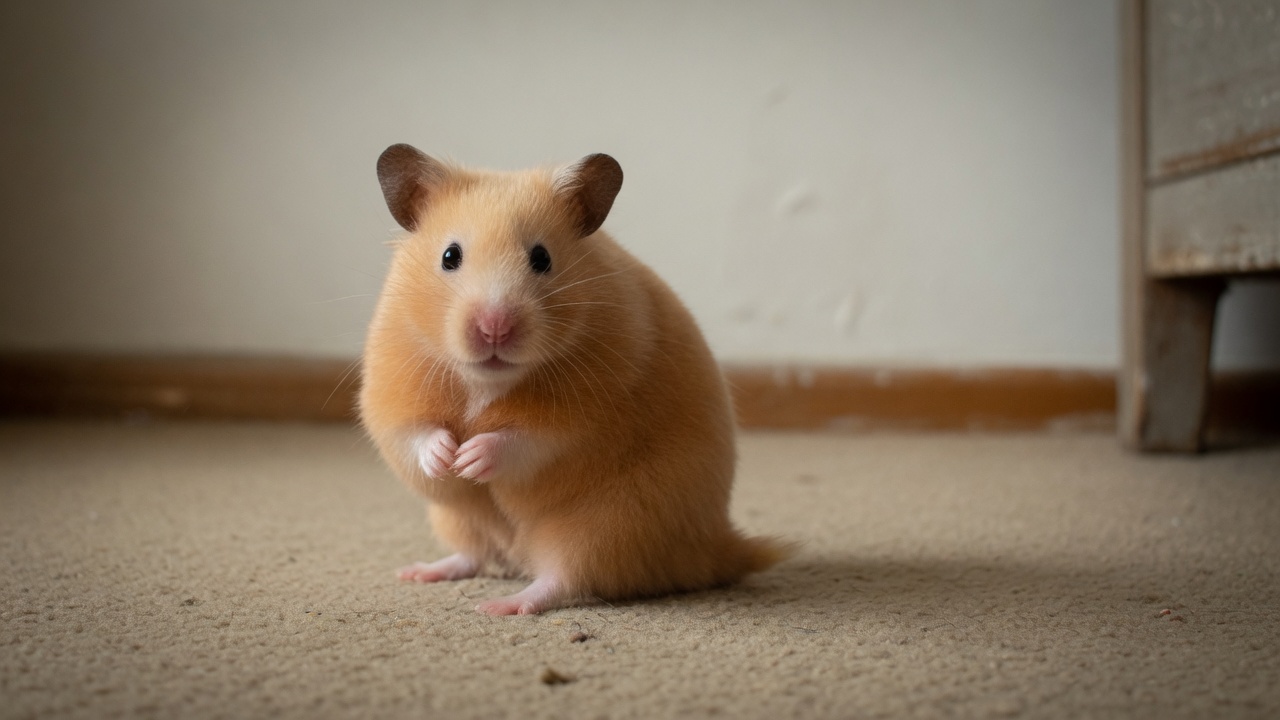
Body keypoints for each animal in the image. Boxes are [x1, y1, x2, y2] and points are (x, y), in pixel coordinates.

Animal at [360, 143, 787, 615]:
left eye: (542, 258)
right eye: (449, 256)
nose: (494, 328)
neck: (488, 381)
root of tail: (714, 548)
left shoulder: (581, 417)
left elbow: (526, 440)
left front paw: (470, 458)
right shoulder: (389, 395)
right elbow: (415, 434)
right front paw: (446, 458)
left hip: (608, 526)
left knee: (562, 580)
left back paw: (500, 605)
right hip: (457, 519)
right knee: (476, 555)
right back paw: (420, 573)